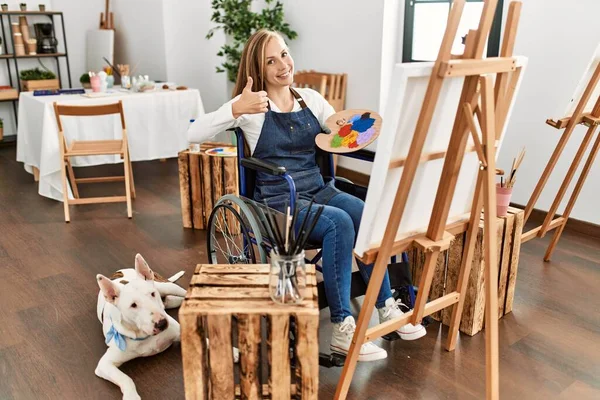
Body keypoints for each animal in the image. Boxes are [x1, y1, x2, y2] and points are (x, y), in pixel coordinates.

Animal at [95, 255, 188, 400]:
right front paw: (131, 396)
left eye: (152, 294)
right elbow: (125, 378)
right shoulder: (104, 365)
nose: (161, 323)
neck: (144, 336)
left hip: (167, 287)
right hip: (171, 301)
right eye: (133, 305)